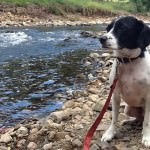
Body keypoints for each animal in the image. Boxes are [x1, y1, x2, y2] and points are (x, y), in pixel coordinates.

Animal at [99, 16, 150, 146]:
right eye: (108, 28)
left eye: (122, 28)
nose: (101, 38)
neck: (129, 62)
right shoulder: (115, 95)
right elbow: (114, 119)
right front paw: (110, 133)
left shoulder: (149, 98)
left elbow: (147, 122)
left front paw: (147, 137)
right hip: (128, 108)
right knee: (139, 118)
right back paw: (131, 121)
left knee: (144, 119)